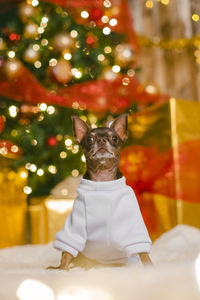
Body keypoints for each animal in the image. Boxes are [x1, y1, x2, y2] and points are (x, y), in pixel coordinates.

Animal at [48, 113, 152, 270]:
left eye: (114, 138)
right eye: (89, 139)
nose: (101, 140)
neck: (103, 181)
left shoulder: (132, 224)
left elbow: (143, 252)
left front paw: (151, 268)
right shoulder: (75, 225)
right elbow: (66, 253)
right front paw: (62, 270)